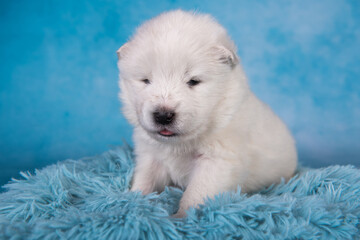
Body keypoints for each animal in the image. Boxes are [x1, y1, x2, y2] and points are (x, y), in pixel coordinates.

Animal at [116, 9, 296, 218]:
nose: (162, 115)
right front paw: (133, 200)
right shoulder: (151, 154)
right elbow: (145, 178)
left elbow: (196, 192)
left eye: (193, 81)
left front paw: (181, 218)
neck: (180, 144)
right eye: (146, 80)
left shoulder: (218, 160)